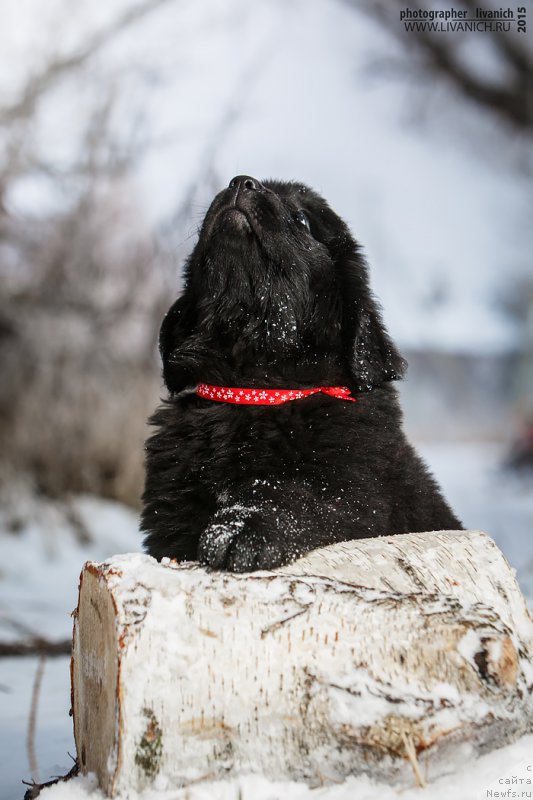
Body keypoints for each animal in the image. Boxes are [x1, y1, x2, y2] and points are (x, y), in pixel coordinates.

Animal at [141, 178, 462, 572]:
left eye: (304, 220)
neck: (251, 388)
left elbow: (294, 491)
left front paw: (242, 526)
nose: (240, 182)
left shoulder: (355, 487)